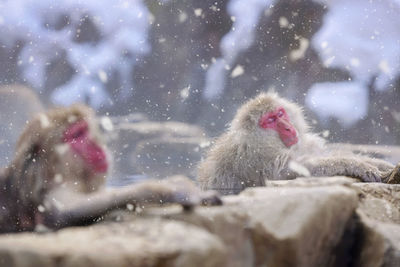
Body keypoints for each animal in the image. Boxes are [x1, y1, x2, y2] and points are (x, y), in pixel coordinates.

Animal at [0, 103, 222, 233]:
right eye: (75, 136)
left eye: (85, 130)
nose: (97, 146)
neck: (52, 170)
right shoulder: (53, 190)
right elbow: (60, 215)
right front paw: (173, 189)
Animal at [198, 92, 396, 195]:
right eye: (270, 121)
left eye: (280, 114)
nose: (287, 127)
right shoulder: (257, 160)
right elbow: (289, 173)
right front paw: (356, 165)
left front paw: (383, 164)